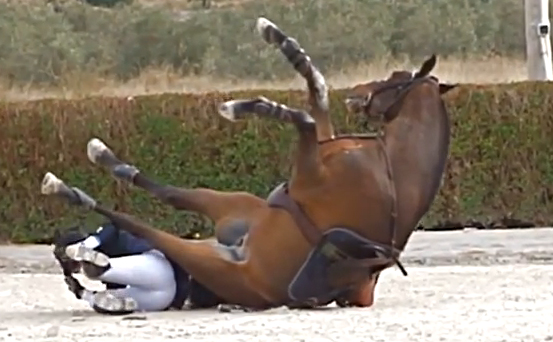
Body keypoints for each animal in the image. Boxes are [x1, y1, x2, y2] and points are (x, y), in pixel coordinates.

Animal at [40, 15, 458, 310]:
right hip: (231, 203)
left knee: (140, 224)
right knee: (170, 194)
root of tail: (237, 246)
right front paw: (280, 40)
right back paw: (104, 160)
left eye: (395, 77)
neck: (392, 171)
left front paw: (244, 106)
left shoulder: (311, 171)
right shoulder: (317, 158)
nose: (357, 94)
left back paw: (70, 207)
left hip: (214, 262)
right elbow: (317, 95)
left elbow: (306, 118)